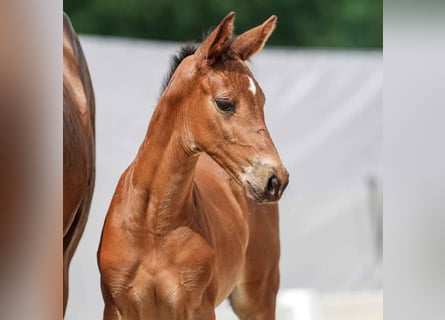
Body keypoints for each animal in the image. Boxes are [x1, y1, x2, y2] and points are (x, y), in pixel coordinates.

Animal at [98, 11, 288, 318]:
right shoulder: (117, 307)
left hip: (258, 296)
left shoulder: (198, 307)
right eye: (225, 103)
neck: (153, 227)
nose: (275, 179)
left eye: (262, 100)